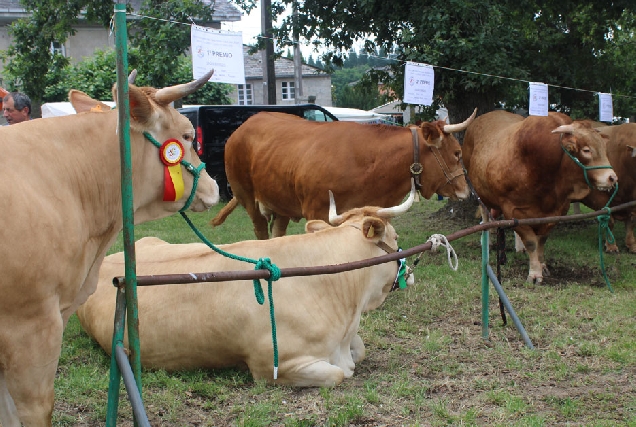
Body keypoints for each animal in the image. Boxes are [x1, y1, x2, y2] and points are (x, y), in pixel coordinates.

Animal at [211, 109, 474, 241]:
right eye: (457, 153)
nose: (466, 191)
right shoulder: (317, 212)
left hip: (280, 202)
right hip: (247, 197)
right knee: (261, 232)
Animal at [462, 110, 616, 284]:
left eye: (603, 147)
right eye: (586, 150)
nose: (612, 177)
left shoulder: (556, 212)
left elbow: (541, 240)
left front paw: (542, 265)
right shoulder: (513, 210)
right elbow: (531, 242)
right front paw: (534, 272)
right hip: (481, 194)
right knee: (485, 219)